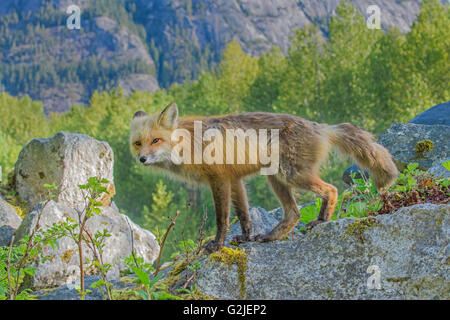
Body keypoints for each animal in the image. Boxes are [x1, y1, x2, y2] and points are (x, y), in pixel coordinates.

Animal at [129, 102, 398, 252]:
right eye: (138, 143)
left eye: (156, 140)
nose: (142, 159)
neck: (190, 143)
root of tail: (320, 127)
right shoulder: (235, 179)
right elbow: (244, 215)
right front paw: (246, 238)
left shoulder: (219, 179)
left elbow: (222, 219)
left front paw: (217, 246)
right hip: (277, 178)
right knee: (293, 213)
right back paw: (270, 237)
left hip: (290, 174)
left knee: (331, 190)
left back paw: (321, 221)